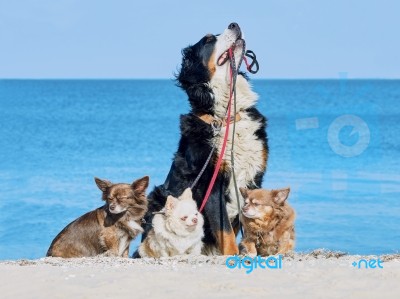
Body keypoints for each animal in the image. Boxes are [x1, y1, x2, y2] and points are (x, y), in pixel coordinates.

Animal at [136, 22, 268, 258]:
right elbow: (226, 231)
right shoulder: (211, 185)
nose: (234, 24)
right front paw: (232, 254)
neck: (225, 117)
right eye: (208, 40)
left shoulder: (253, 178)